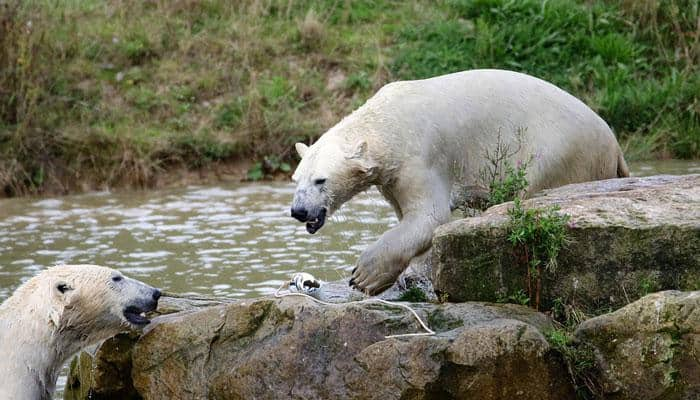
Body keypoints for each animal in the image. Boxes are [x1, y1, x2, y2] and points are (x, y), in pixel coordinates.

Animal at [290, 68, 628, 294]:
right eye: (297, 178)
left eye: (321, 180)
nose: (299, 211)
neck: (388, 125)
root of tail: (614, 143)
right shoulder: (391, 175)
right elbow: (409, 217)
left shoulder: (420, 157)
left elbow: (430, 216)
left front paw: (364, 275)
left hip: (559, 150)